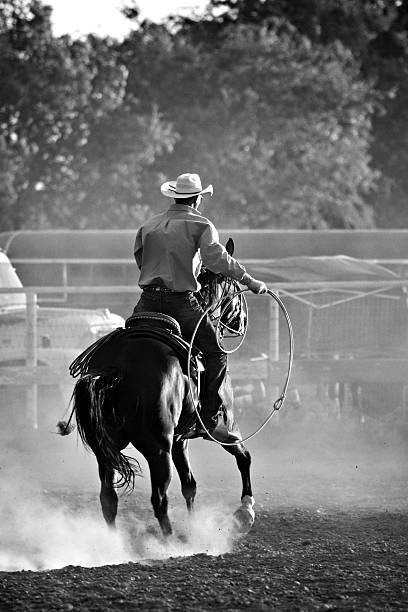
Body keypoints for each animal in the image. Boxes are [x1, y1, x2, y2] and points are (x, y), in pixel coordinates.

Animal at [57, 239, 255, 536]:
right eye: (233, 286)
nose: (241, 321)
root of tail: (117, 365)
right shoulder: (223, 426)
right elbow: (244, 457)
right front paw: (245, 511)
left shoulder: (180, 440)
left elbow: (190, 485)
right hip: (158, 449)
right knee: (159, 499)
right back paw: (169, 540)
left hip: (107, 449)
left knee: (108, 498)